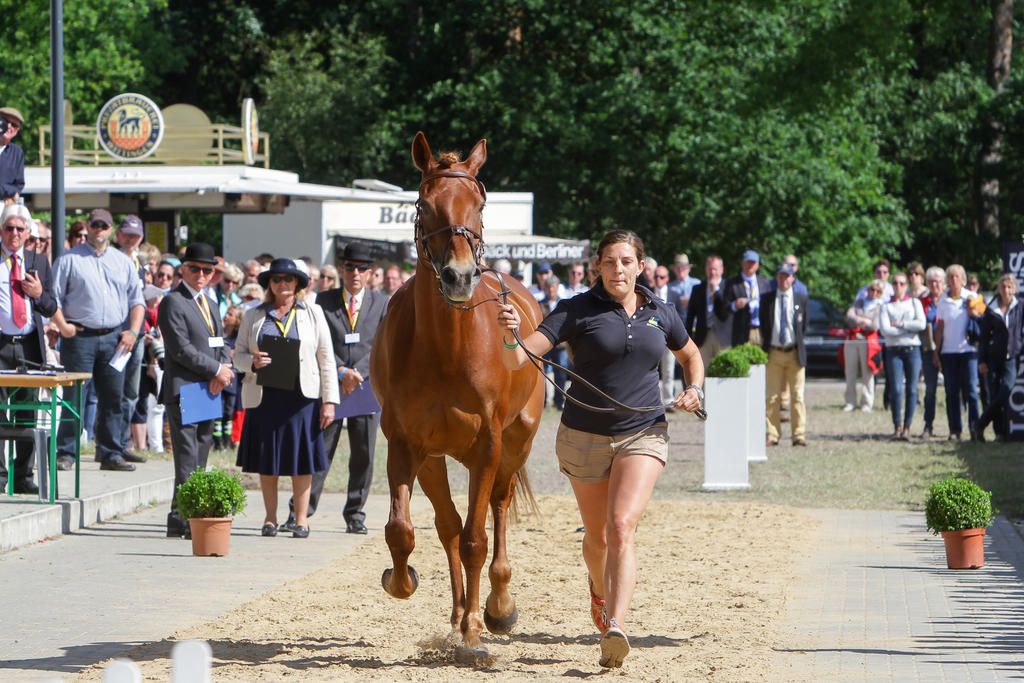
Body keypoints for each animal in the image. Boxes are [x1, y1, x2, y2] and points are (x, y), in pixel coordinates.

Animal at [368, 133, 544, 655]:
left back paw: (495, 608)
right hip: (434, 459)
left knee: (497, 510)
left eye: (480, 205)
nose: (460, 276)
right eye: (426, 206)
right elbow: (402, 531)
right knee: (447, 526)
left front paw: (475, 630)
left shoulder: (488, 445)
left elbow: (476, 539)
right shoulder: (406, 444)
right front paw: (401, 581)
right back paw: (457, 614)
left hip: (515, 445)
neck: (446, 348)